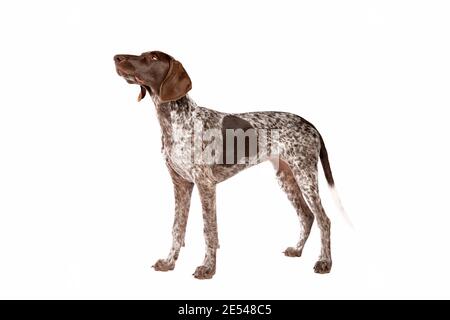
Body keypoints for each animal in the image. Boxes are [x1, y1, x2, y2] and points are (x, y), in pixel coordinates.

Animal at [114, 51, 342, 278]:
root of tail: (310, 125)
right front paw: (169, 262)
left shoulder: (205, 184)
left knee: (324, 220)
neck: (175, 121)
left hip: (305, 176)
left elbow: (209, 230)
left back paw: (325, 262)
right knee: (307, 216)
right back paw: (297, 250)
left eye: (152, 58)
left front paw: (208, 268)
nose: (116, 57)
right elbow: (177, 228)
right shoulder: (181, 183)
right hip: (287, 177)